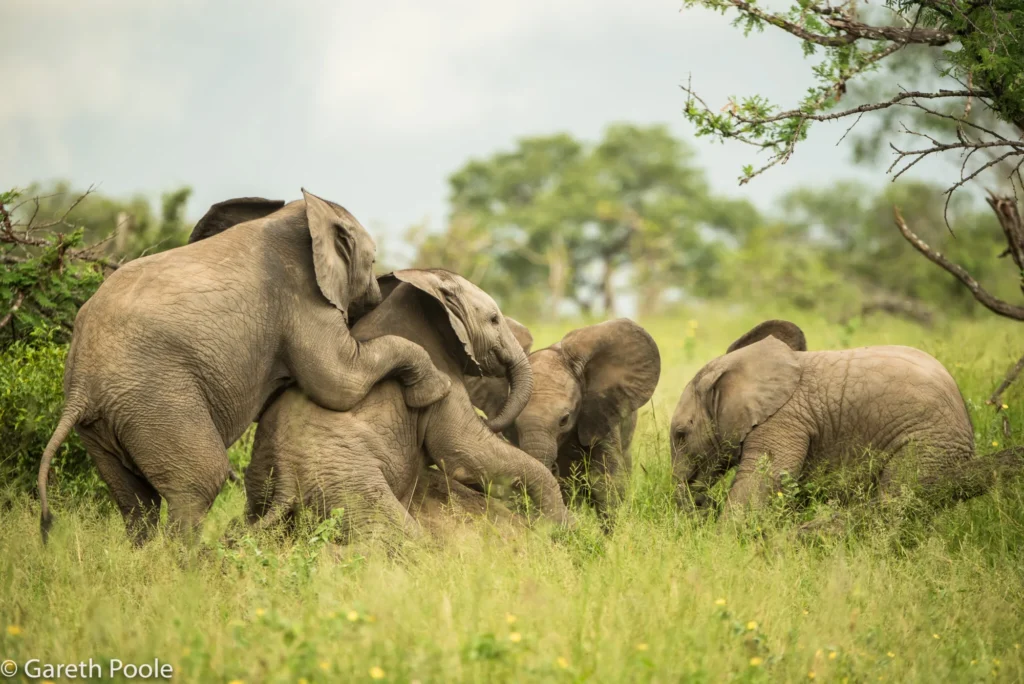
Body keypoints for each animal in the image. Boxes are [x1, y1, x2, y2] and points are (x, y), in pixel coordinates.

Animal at [37, 190, 452, 543]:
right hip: (155, 398)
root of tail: (80, 388)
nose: (379, 292)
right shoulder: (300, 299)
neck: (302, 215)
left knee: (137, 503)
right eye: (373, 260)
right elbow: (340, 382)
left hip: (104, 425)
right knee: (199, 483)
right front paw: (439, 387)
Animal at [244, 268, 571, 541]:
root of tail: (285, 484)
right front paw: (560, 527)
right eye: (493, 319)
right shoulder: (442, 379)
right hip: (347, 482)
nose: (489, 420)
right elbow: (467, 453)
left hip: (265, 484)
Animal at [670, 319, 1022, 521]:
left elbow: (764, 477)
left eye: (681, 435)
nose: (702, 502)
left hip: (927, 445)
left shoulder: (784, 419)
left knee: (899, 497)